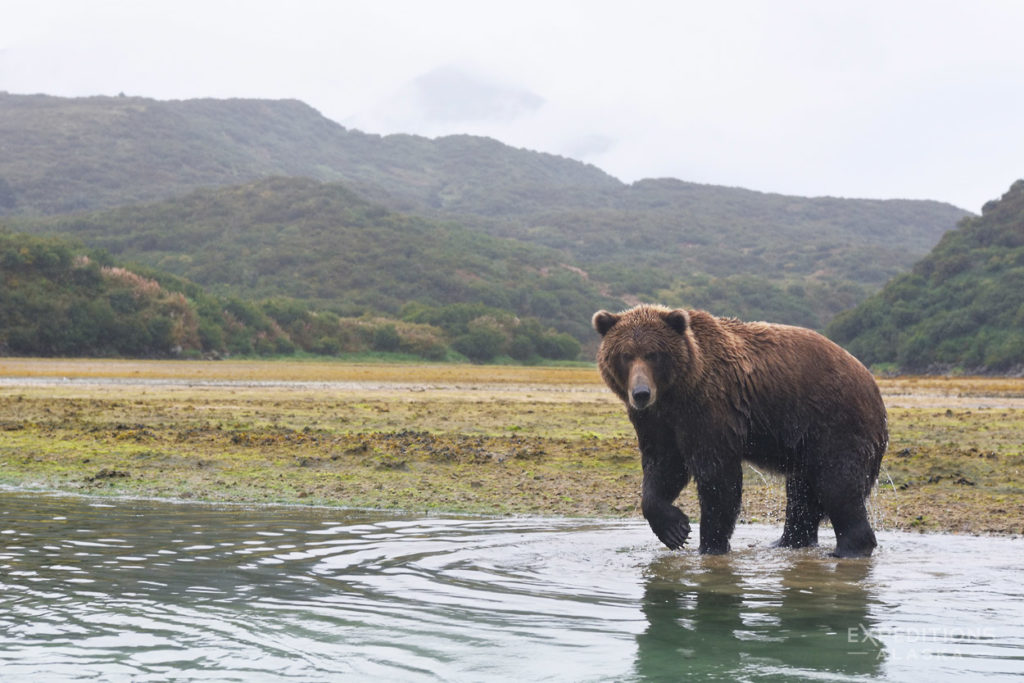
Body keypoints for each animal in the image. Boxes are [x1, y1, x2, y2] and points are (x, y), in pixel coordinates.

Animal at [593, 307, 888, 557]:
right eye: (625, 355)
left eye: (653, 354)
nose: (641, 393)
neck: (675, 393)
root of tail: (870, 381)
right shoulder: (657, 422)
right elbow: (663, 467)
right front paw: (674, 530)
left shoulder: (709, 407)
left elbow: (717, 477)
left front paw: (709, 544)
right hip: (806, 443)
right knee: (802, 494)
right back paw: (786, 542)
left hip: (835, 423)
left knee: (837, 484)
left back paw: (849, 549)